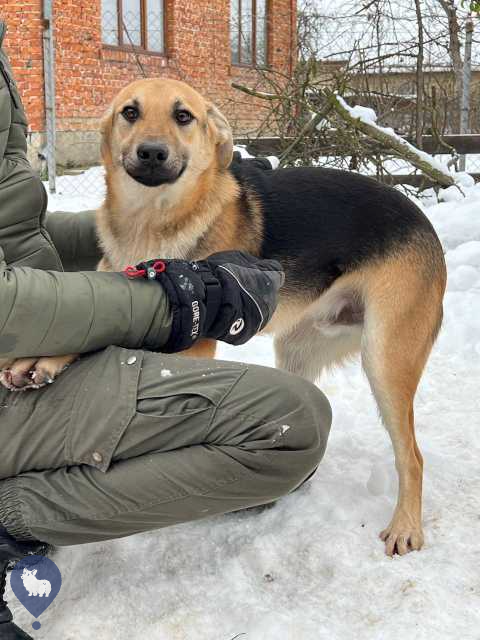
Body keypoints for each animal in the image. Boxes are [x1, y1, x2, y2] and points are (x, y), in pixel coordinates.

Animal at [3, 80, 448, 556]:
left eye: (183, 116)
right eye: (130, 112)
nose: (152, 153)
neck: (151, 220)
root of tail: (425, 224)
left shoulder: (189, 339)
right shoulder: (120, 290)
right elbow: (90, 323)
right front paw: (41, 360)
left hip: (384, 359)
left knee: (413, 457)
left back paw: (405, 525)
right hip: (297, 349)